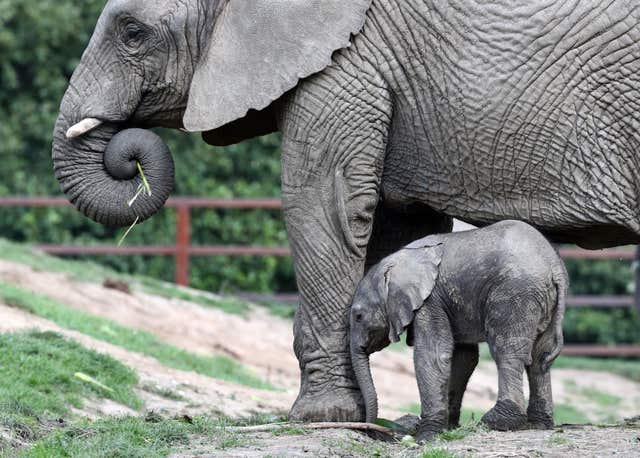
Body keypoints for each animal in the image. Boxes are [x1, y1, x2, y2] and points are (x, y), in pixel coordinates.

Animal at [352, 220, 568, 438]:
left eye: (358, 316)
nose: (371, 430)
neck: (397, 262)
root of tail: (555, 267)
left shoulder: (430, 300)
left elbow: (433, 354)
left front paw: (426, 435)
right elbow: (463, 358)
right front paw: (447, 427)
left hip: (515, 294)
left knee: (506, 351)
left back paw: (496, 422)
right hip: (544, 299)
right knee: (541, 357)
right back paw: (538, 423)